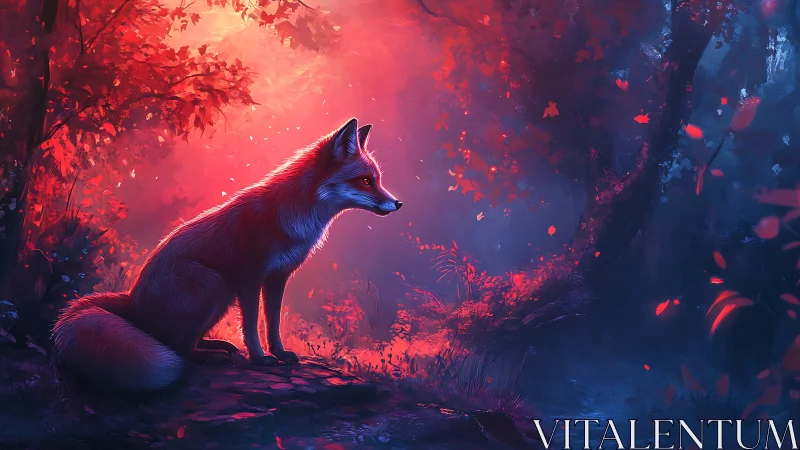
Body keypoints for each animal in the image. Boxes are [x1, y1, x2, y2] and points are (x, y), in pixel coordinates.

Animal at [52, 118, 402, 392]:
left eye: (377, 180)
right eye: (366, 181)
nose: (397, 203)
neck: (293, 216)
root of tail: (132, 302)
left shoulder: (277, 278)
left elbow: (273, 322)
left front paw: (280, 353)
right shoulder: (249, 277)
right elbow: (251, 325)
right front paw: (260, 359)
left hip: (220, 295)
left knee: (183, 340)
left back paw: (217, 347)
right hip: (215, 284)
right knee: (175, 347)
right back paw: (209, 356)